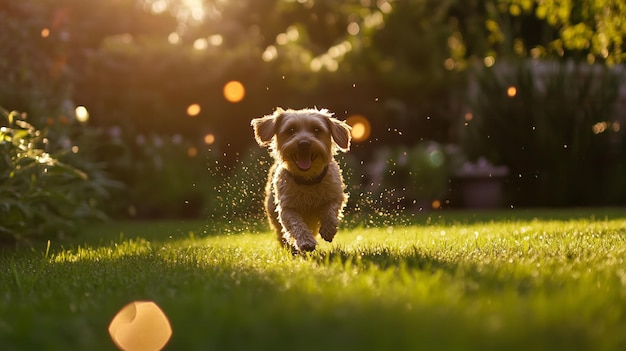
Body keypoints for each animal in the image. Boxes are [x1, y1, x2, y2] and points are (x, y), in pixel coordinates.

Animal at [252, 107, 352, 253]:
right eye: (291, 130)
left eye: (316, 129)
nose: (304, 143)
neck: (307, 180)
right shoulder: (287, 208)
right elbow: (296, 224)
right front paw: (306, 242)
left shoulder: (335, 195)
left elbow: (330, 211)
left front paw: (328, 230)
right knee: (281, 232)